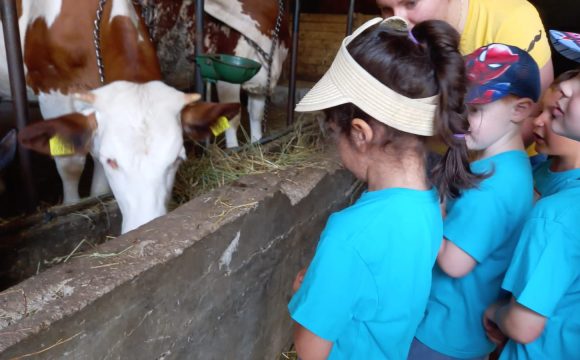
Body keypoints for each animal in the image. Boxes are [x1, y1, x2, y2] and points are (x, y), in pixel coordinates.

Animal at [0, 0, 238, 233]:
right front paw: (71, 205)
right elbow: (70, 164)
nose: (146, 227)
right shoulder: (51, 89)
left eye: (177, 159)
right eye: (111, 161)